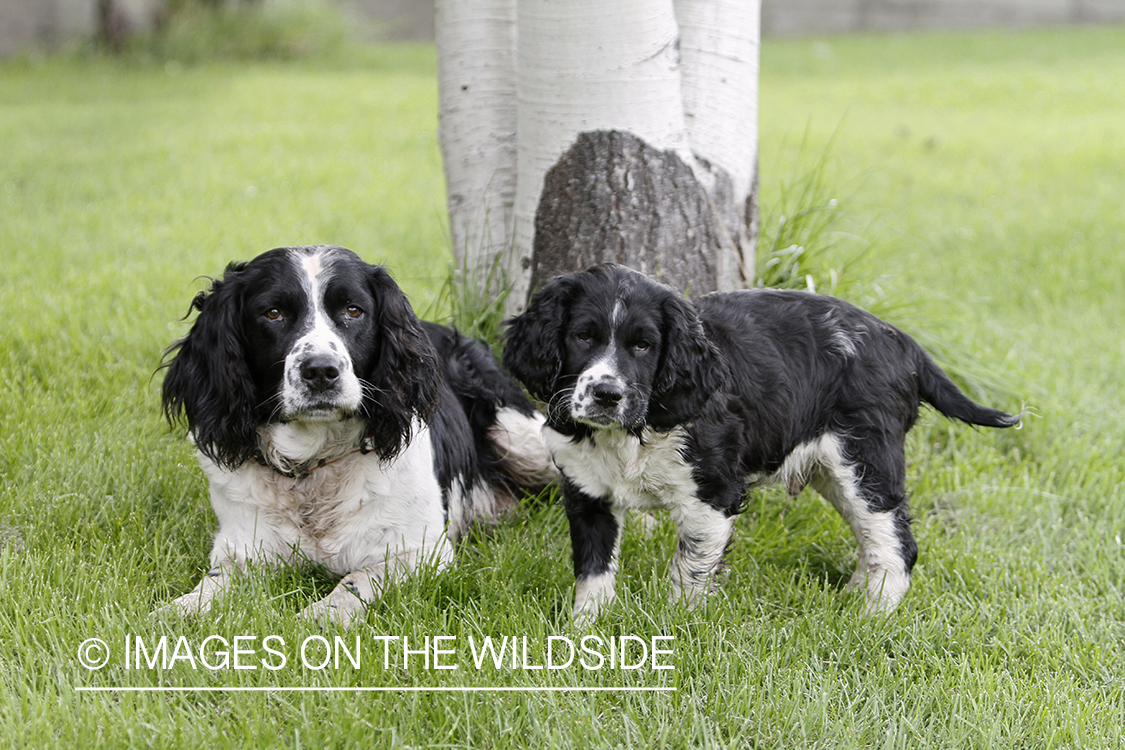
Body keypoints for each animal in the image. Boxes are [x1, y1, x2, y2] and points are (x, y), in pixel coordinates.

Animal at [160, 246, 555, 629]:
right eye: (273, 313)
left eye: (353, 310)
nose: (321, 371)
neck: (313, 466)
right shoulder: (240, 546)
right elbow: (214, 582)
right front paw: (181, 609)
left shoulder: (422, 550)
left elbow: (361, 576)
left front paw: (325, 613)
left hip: (521, 438)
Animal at [506, 264, 1026, 620]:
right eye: (582, 337)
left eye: (643, 346)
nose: (607, 394)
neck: (632, 431)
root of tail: (903, 343)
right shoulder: (587, 489)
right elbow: (592, 568)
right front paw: (586, 629)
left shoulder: (713, 495)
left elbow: (689, 569)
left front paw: (673, 627)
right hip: (832, 470)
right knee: (872, 538)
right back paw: (853, 597)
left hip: (865, 458)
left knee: (895, 543)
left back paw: (870, 616)